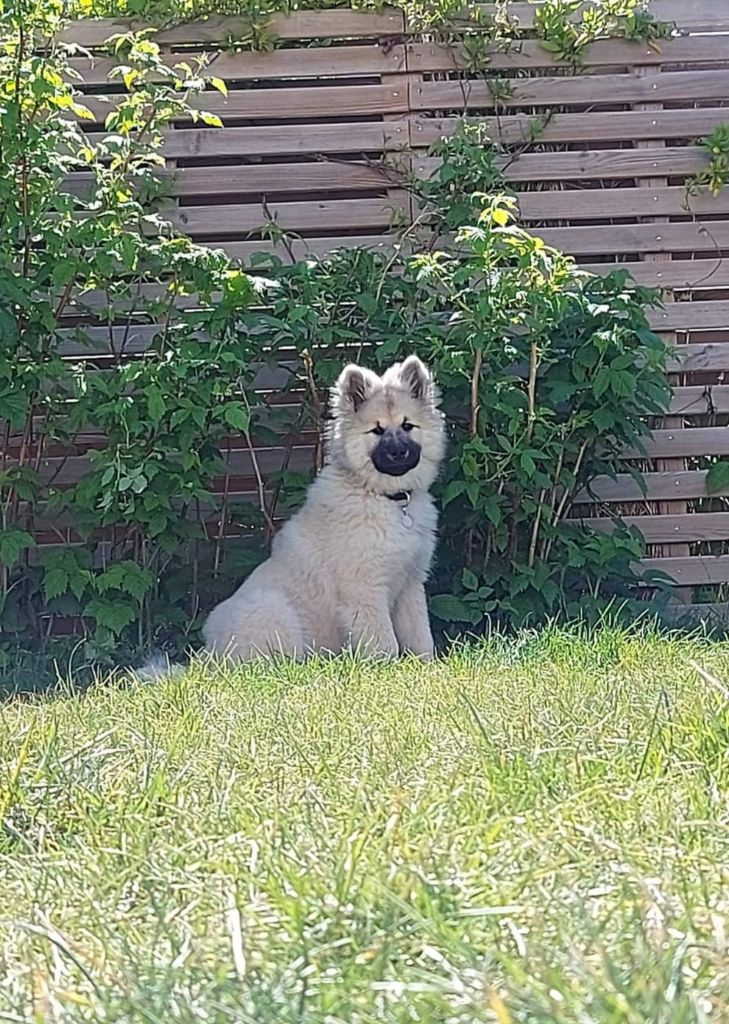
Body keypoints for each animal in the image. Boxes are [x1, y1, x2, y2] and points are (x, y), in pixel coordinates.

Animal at [203, 355, 446, 661]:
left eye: (407, 426)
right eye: (377, 431)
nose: (398, 453)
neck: (387, 498)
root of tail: (208, 654)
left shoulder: (410, 584)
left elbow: (420, 635)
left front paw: (426, 664)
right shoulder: (365, 590)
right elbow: (384, 642)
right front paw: (386, 666)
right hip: (274, 611)